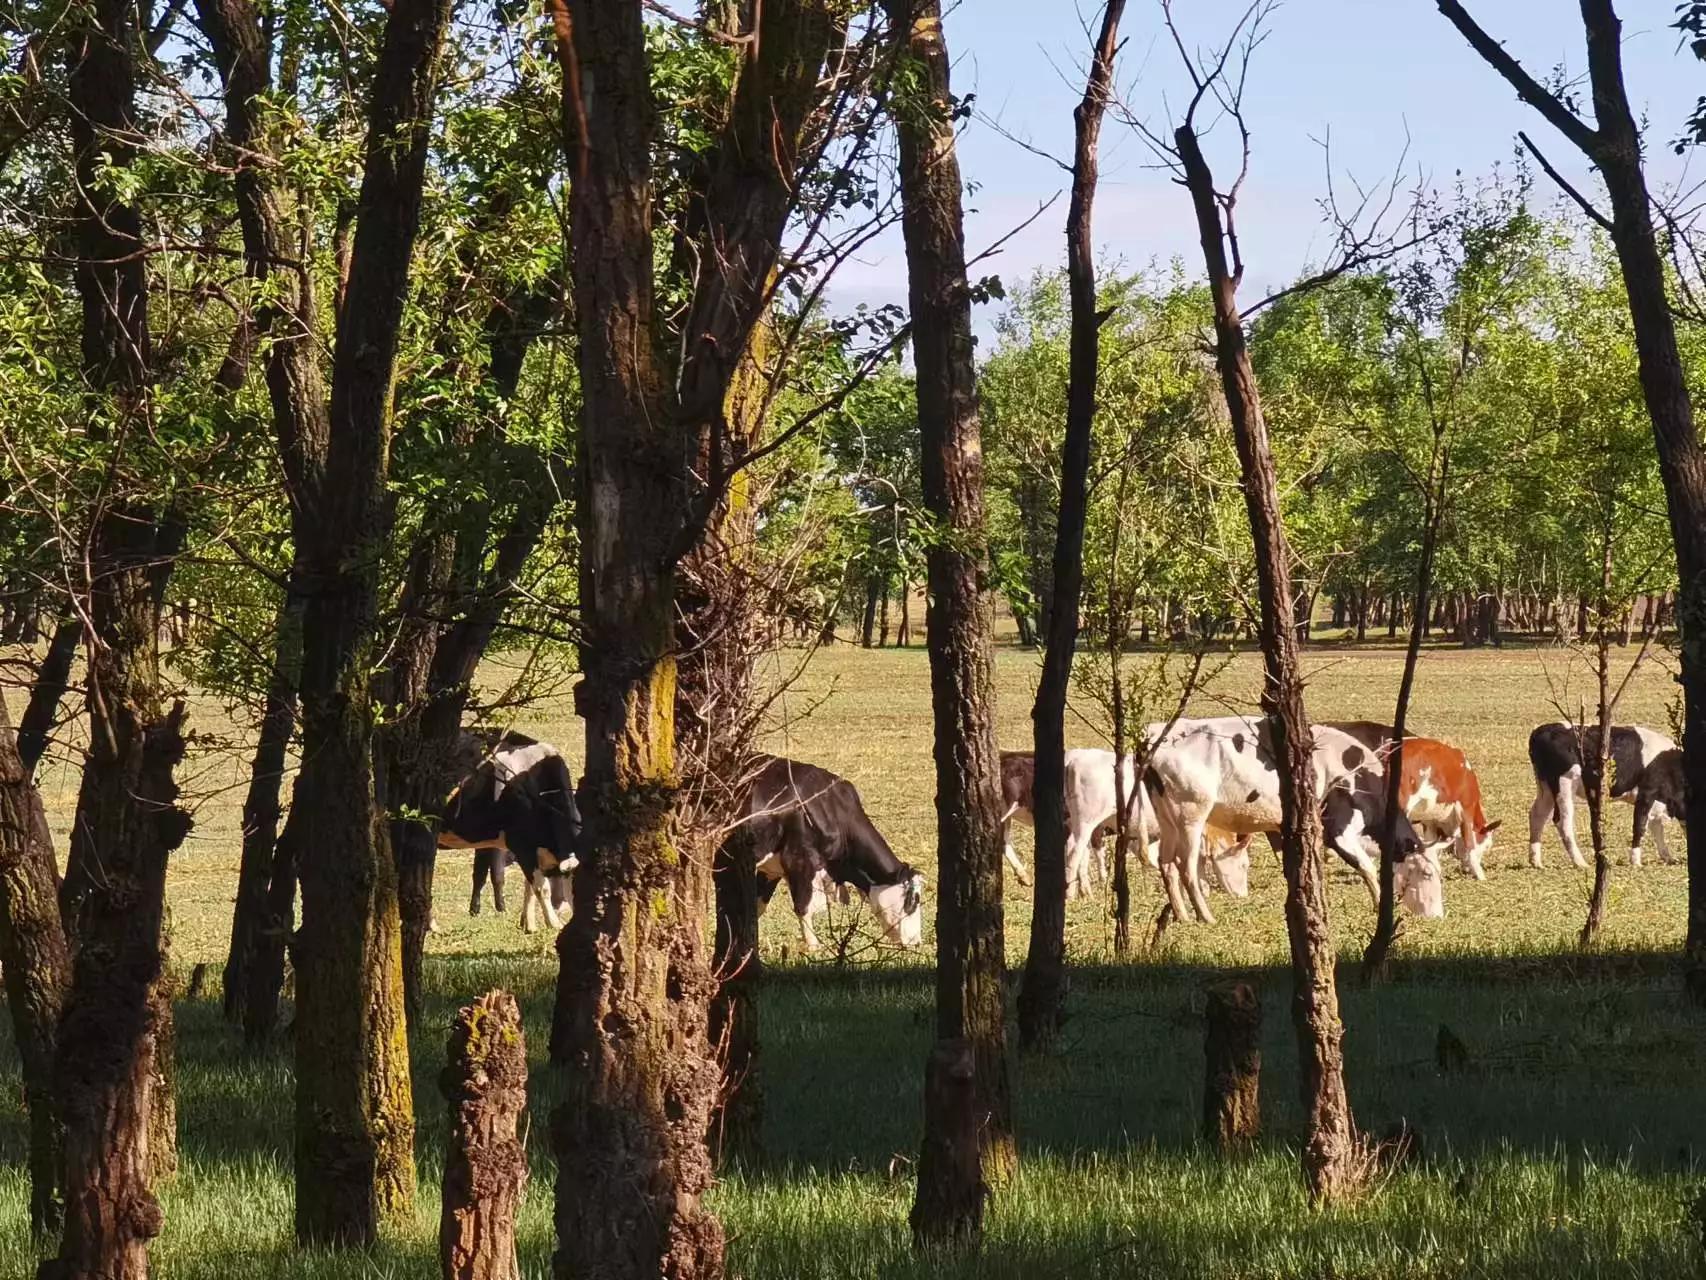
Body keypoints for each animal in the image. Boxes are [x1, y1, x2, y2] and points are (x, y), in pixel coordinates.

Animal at [733, 761, 921, 955]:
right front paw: (814, 948)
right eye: (914, 901)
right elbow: (803, 907)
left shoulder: (772, 868)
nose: (917, 942)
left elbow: (757, 908)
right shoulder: (798, 861)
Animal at [1139, 716, 1433, 928]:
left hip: (1167, 817)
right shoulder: (1337, 830)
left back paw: (1182, 915)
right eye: (1426, 873)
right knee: (1186, 866)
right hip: (1191, 815)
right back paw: (1205, 916)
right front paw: (1379, 905)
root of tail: (1158, 734)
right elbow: (1367, 867)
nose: (1432, 914)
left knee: (1166, 864)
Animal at [1323, 727, 1501, 887]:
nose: (1466, 870)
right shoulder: (1466, 807)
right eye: (1487, 845)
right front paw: (1480, 874)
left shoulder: (1430, 822)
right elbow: (1469, 842)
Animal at [1528, 723, 1671, 873]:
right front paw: (1636, 861)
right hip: (1565, 782)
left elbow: (1657, 825)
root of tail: (1542, 730)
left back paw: (1536, 861)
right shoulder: (1647, 795)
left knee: (1537, 815)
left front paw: (1667, 857)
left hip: (1545, 786)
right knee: (1562, 822)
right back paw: (1580, 862)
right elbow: (1641, 825)